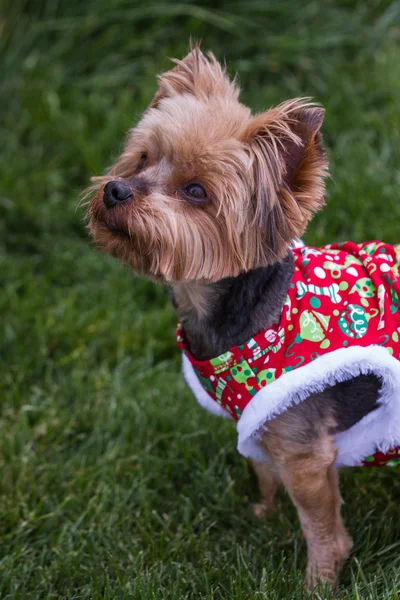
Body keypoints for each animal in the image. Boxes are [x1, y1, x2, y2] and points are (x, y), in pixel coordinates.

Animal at [87, 48, 400, 592]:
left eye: (196, 191)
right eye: (143, 158)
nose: (116, 189)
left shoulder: (304, 451)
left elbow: (322, 528)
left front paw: (318, 583)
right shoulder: (267, 423)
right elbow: (267, 474)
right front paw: (265, 517)